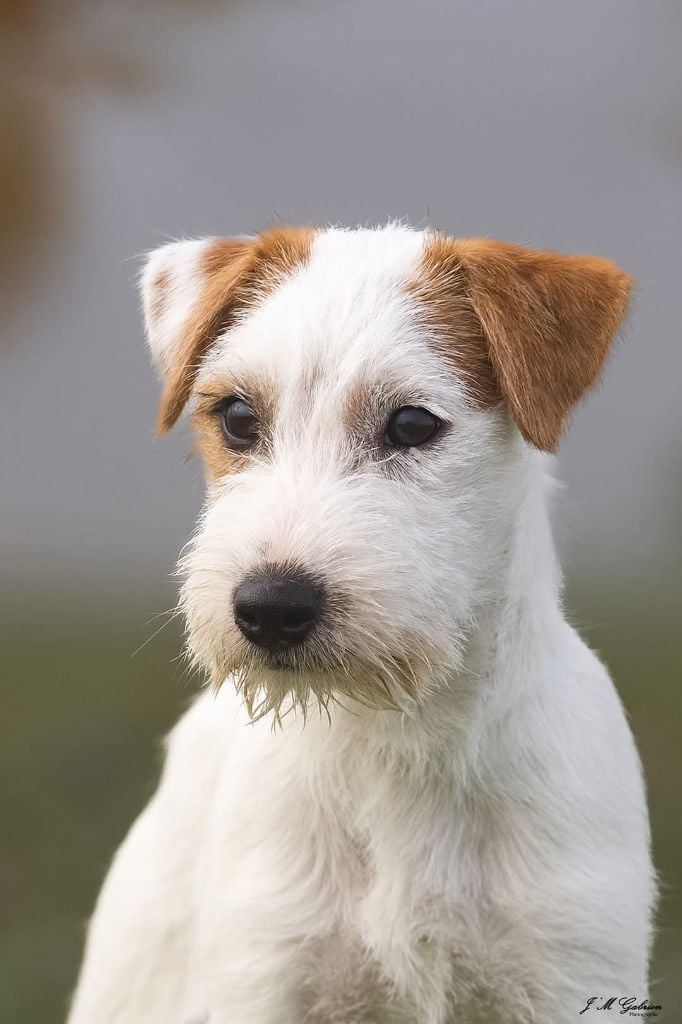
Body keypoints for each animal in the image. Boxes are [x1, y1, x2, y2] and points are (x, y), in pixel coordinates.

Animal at [67, 226, 655, 1024]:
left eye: (411, 424)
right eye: (238, 418)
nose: (270, 607)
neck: (398, 738)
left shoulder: (572, 969)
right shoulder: (266, 973)